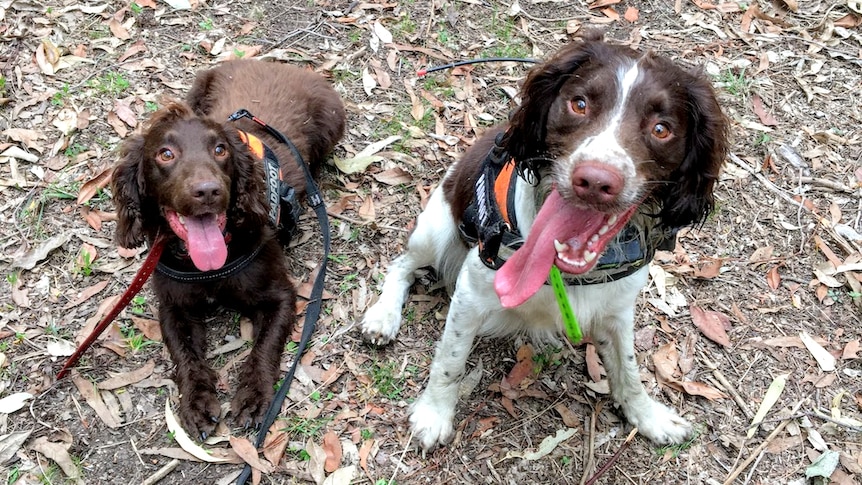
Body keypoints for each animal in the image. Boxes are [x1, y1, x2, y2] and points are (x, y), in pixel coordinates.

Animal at [360, 33, 728, 450]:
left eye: (662, 128)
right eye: (579, 104)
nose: (595, 181)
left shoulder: (618, 310)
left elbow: (629, 370)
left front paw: (648, 416)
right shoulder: (471, 293)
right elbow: (450, 359)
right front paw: (433, 413)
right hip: (435, 229)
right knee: (402, 265)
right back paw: (382, 315)